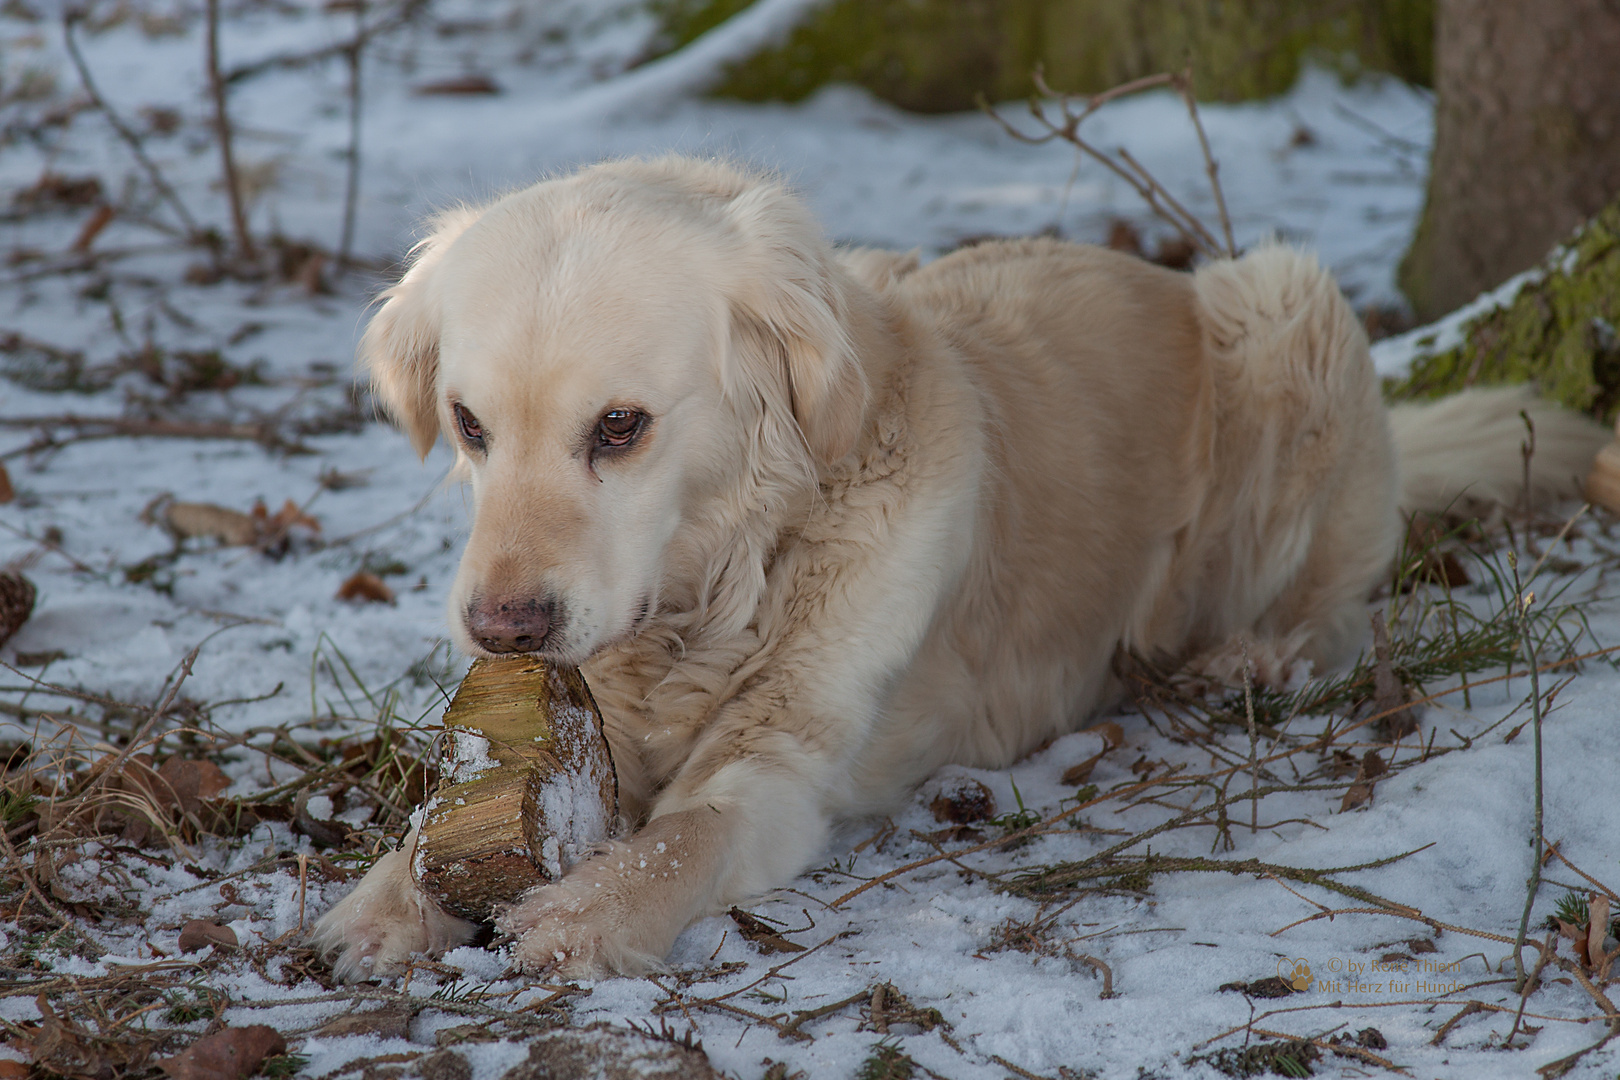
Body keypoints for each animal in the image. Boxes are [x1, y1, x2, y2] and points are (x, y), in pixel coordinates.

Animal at [312, 158, 1607, 977]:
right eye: (470, 425)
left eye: (620, 427)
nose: (503, 626)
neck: (723, 585)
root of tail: (1165, 273)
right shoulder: (596, 722)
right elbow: (434, 831)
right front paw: (378, 904)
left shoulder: (783, 773)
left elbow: (684, 838)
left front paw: (585, 912)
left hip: (1288, 302)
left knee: (1339, 601)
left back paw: (1262, 654)